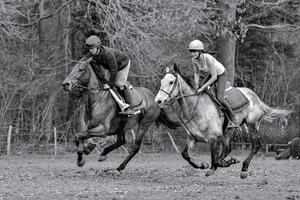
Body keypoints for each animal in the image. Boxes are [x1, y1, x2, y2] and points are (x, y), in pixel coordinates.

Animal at [155, 64, 290, 178]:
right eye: (161, 82)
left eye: (171, 82)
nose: (158, 101)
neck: (197, 108)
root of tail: (255, 97)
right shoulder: (193, 138)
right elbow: (185, 154)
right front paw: (203, 165)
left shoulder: (214, 139)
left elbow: (215, 159)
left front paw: (227, 162)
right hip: (228, 132)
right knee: (228, 148)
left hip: (252, 125)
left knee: (256, 145)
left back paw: (244, 169)